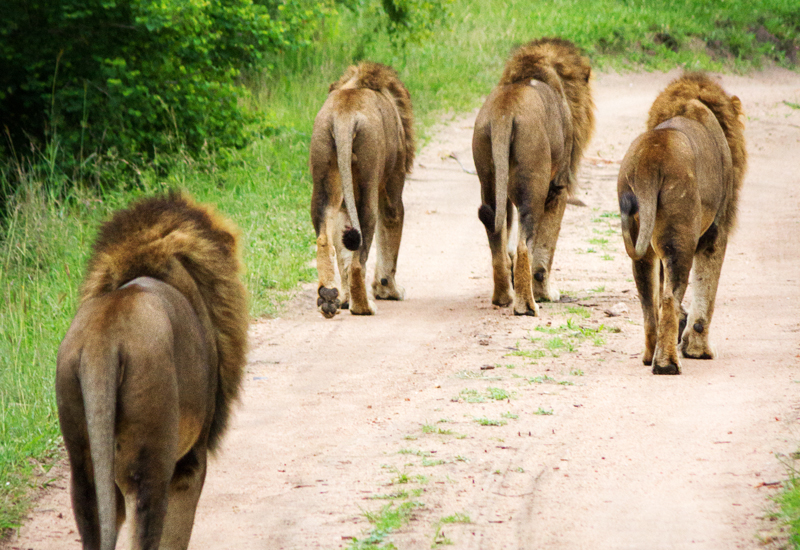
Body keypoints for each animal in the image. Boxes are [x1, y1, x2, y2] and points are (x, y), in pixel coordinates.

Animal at [310, 61, 416, 320]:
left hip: (323, 182)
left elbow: (343, 257)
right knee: (360, 259)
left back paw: (328, 298)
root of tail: (344, 117)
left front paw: (344, 299)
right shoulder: (392, 188)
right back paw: (364, 307)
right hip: (368, 189)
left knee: (325, 239)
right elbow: (390, 234)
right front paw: (388, 291)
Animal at [472, 37, 596, 314]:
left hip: (489, 179)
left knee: (494, 230)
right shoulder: (559, 187)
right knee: (524, 244)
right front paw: (546, 294)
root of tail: (504, 113)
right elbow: (545, 249)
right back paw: (527, 305)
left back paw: (503, 297)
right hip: (535, 188)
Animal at [616, 72, 748, 376]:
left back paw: (649, 355)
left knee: (649, 302)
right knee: (667, 299)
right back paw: (666, 364)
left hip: (644, 243)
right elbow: (706, 291)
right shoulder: (716, 233)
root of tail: (650, 159)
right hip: (680, 238)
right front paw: (698, 350)